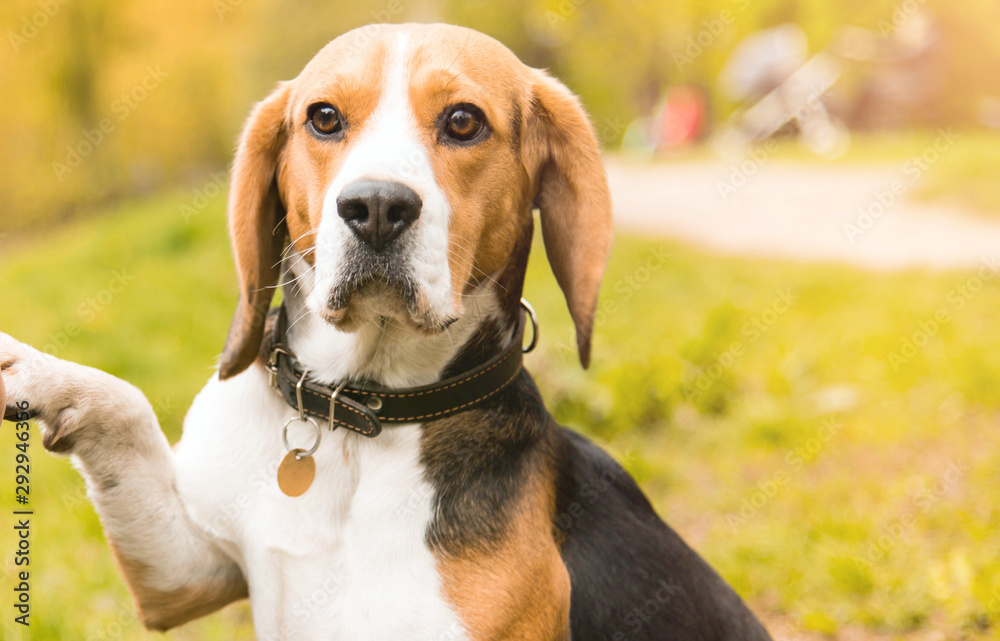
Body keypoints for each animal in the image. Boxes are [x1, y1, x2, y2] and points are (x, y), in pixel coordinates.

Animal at [1, 23, 772, 640]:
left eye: (463, 121)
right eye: (323, 117)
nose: (374, 205)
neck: (357, 419)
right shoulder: (185, 571)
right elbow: (124, 404)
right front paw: (30, 369)